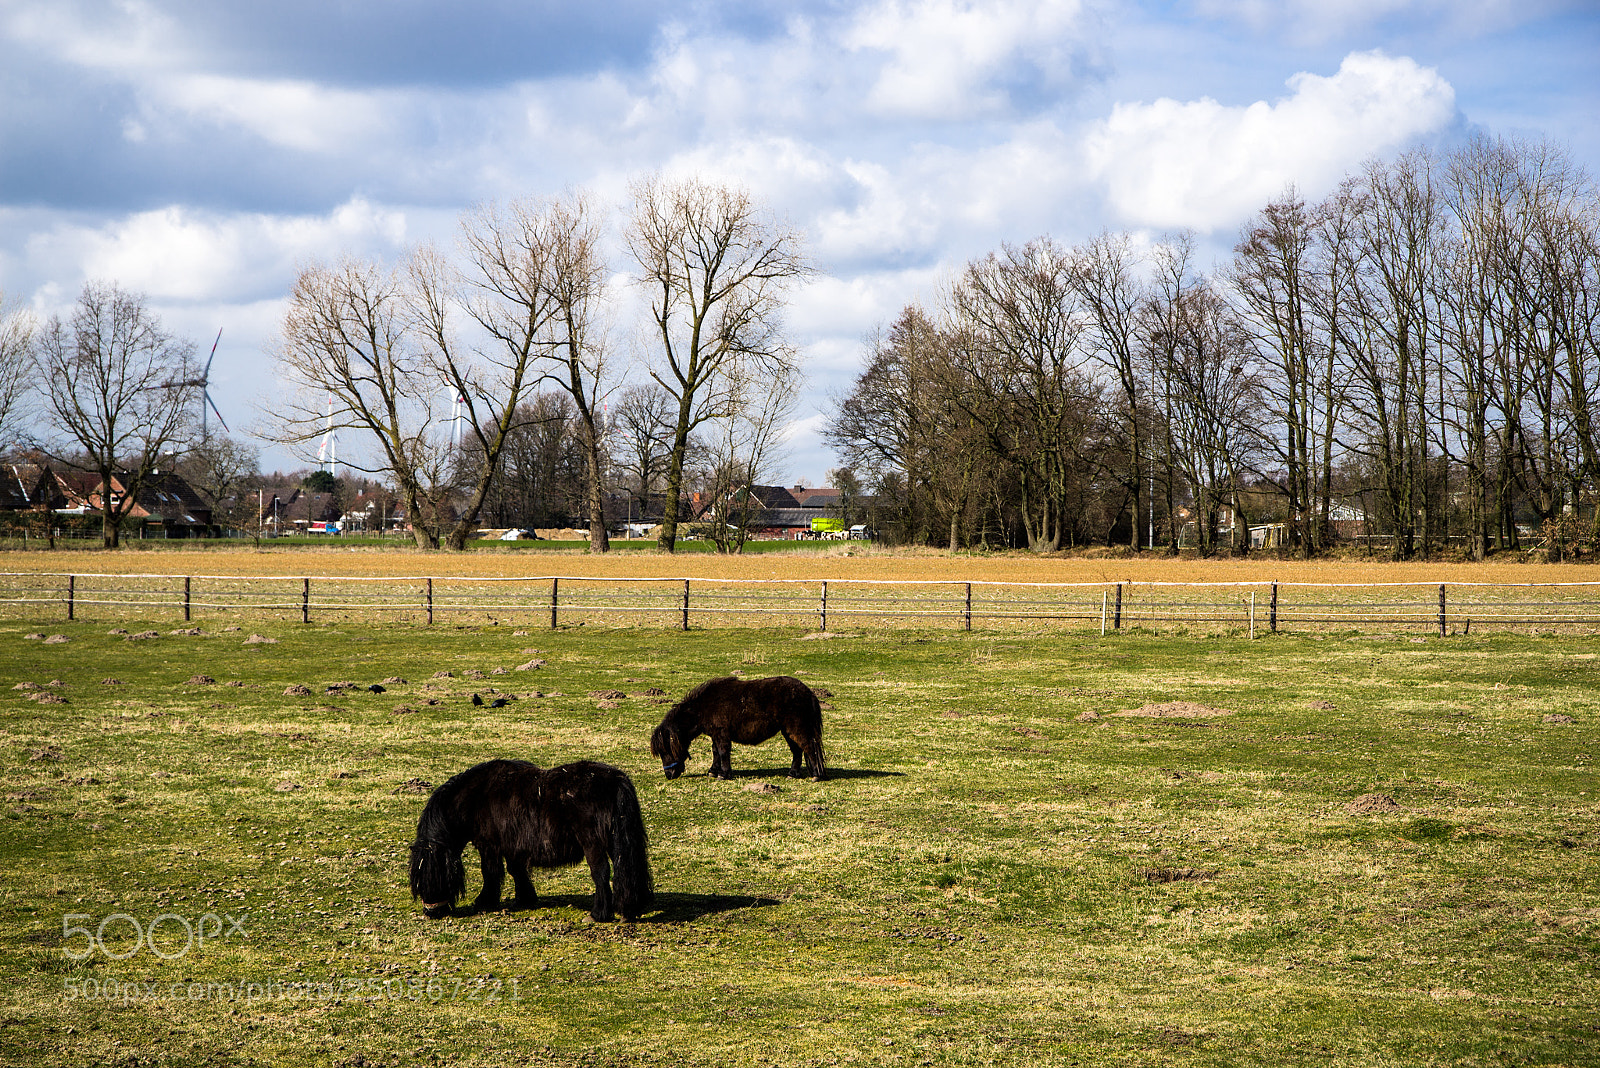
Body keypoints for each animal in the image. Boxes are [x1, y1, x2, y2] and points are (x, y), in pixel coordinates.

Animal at [408, 759, 653, 922]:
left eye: (432, 873)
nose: (431, 912)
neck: (474, 798)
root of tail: (616, 780)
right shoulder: (512, 846)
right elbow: (516, 870)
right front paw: (526, 898)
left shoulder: (489, 846)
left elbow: (491, 873)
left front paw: (484, 902)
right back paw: (629, 909)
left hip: (593, 844)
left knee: (601, 874)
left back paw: (598, 914)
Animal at [650, 675, 825, 781]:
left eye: (665, 750)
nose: (669, 774)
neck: (703, 708)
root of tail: (808, 692)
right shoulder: (716, 735)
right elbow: (716, 752)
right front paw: (713, 771)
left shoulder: (721, 734)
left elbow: (722, 752)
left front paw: (723, 774)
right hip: (788, 731)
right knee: (797, 751)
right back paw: (792, 774)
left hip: (796, 729)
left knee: (809, 747)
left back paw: (816, 775)